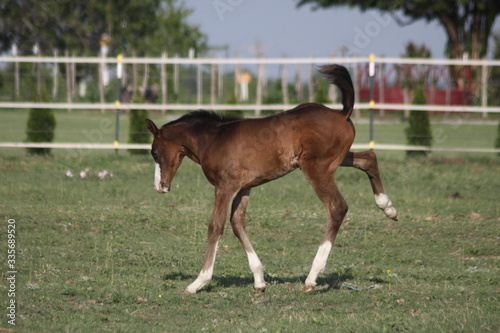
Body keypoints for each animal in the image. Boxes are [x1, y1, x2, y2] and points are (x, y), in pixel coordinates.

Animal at [146, 65, 398, 294]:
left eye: (154, 152)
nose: (160, 187)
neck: (213, 139)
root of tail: (341, 113)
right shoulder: (243, 188)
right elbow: (237, 224)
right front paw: (259, 280)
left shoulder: (225, 186)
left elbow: (216, 226)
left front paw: (199, 282)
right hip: (335, 160)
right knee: (368, 158)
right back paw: (388, 208)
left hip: (317, 168)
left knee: (337, 207)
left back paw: (312, 277)